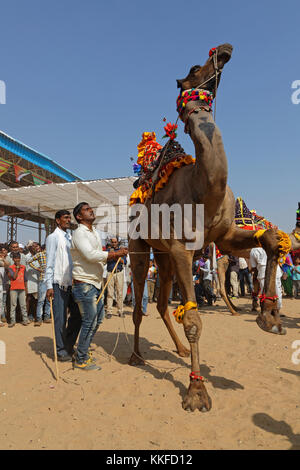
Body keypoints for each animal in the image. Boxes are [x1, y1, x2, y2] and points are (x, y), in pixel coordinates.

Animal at [128, 44, 290, 412]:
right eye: (193, 68)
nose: (224, 51)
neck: (206, 188)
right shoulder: (182, 247)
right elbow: (192, 319)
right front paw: (197, 393)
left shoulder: (223, 237)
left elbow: (270, 238)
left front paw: (270, 317)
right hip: (140, 247)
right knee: (139, 302)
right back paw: (136, 356)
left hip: (164, 257)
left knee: (161, 303)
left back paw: (178, 350)